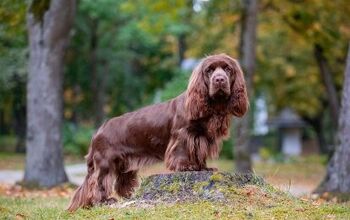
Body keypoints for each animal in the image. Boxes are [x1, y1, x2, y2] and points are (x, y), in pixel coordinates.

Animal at [67, 53, 249, 211]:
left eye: (228, 69)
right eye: (209, 70)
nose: (219, 80)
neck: (212, 107)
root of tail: (98, 131)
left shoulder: (201, 138)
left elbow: (198, 154)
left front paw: (203, 168)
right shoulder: (183, 135)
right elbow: (183, 151)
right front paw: (186, 166)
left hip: (124, 163)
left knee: (120, 181)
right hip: (106, 162)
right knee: (97, 182)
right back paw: (103, 201)